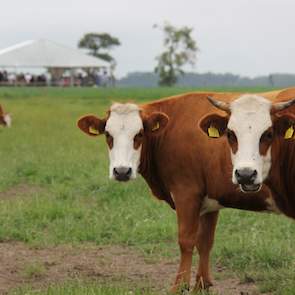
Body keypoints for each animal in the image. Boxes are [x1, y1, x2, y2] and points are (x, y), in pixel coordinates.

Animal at [77, 90, 288, 294]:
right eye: (108, 135)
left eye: (139, 134)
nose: (121, 171)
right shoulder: (211, 200)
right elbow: (205, 242)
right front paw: (201, 285)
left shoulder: (186, 193)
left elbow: (186, 240)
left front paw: (179, 286)